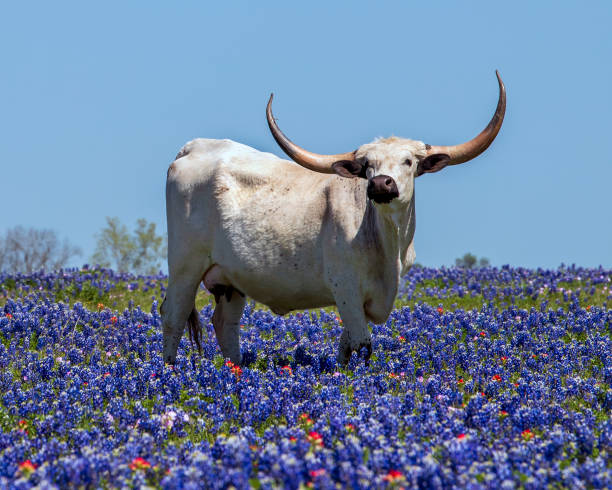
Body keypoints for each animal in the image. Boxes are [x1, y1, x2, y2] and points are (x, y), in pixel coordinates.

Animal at [161, 71, 506, 366]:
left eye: (408, 162)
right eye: (367, 165)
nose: (381, 183)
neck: (387, 242)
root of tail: (193, 147)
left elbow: (346, 347)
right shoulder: (346, 290)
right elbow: (362, 345)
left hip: (230, 279)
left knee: (225, 324)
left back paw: (234, 370)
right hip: (185, 265)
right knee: (173, 316)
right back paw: (169, 371)